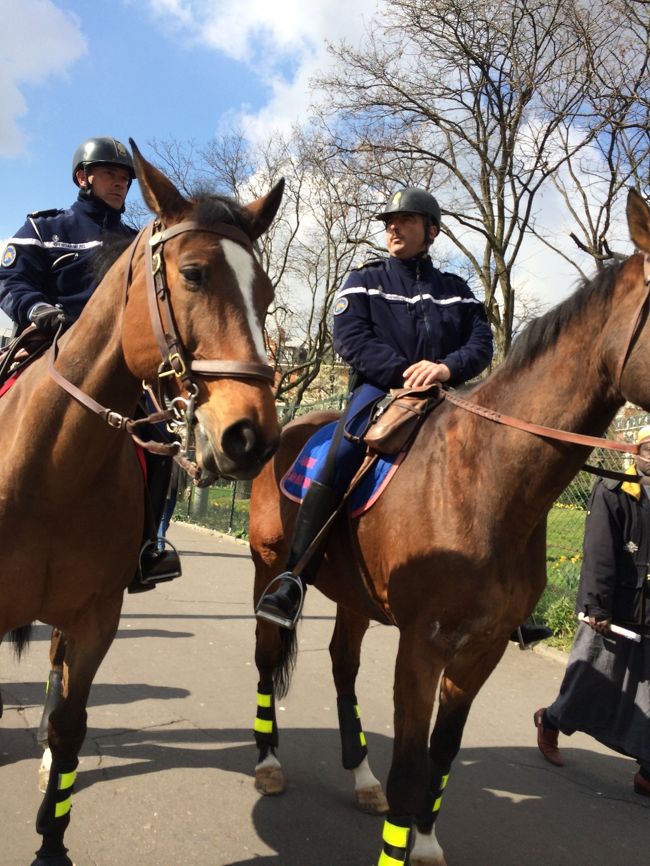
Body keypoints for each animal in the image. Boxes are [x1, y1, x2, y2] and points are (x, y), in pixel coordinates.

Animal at [0, 140, 283, 866]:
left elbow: (73, 727)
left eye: (267, 293)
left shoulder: (95, 619)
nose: (251, 436)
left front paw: (51, 843)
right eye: (194, 273)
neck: (52, 470)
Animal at [248, 189, 650, 866]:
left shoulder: (480, 650)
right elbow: (412, 765)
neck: (485, 481)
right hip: (268, 569)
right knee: (266, 654)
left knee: (342, 666)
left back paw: (360, 775)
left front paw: (427, 842)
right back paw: (269, 762)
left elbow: (442, 756)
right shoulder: (423, 644)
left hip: (354, 598)